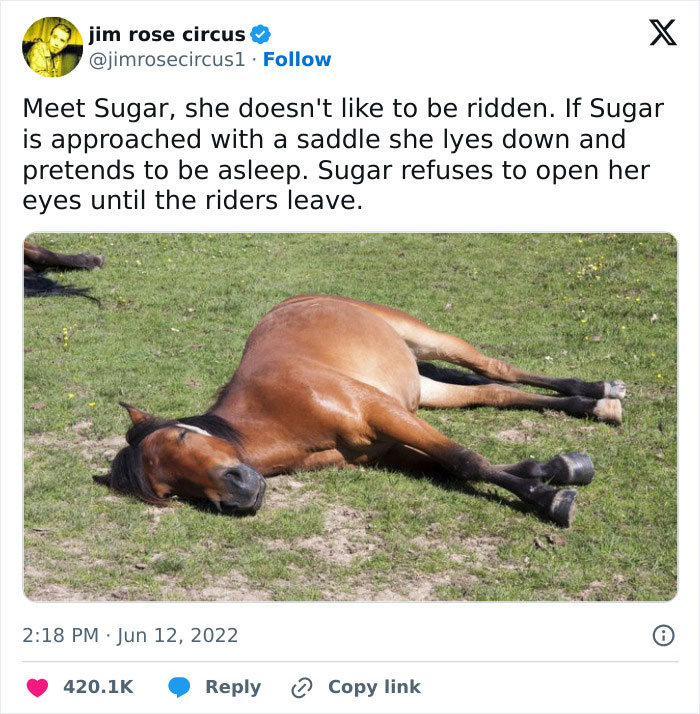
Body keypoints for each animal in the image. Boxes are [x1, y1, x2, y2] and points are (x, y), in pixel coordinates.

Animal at [95, 295, 626, 527]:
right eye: (170, 491)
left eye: (183, 437)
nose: (238, 493)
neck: (278, 414)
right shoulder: (385, 449)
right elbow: (456, 466)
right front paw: (556, 469)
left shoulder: (383, 412)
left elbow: (466, 459)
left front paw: (550, 500)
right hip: (422, 389)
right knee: (494, 391)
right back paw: (596, 403)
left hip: (427, 340)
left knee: (497, 368)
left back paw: (603, 390)